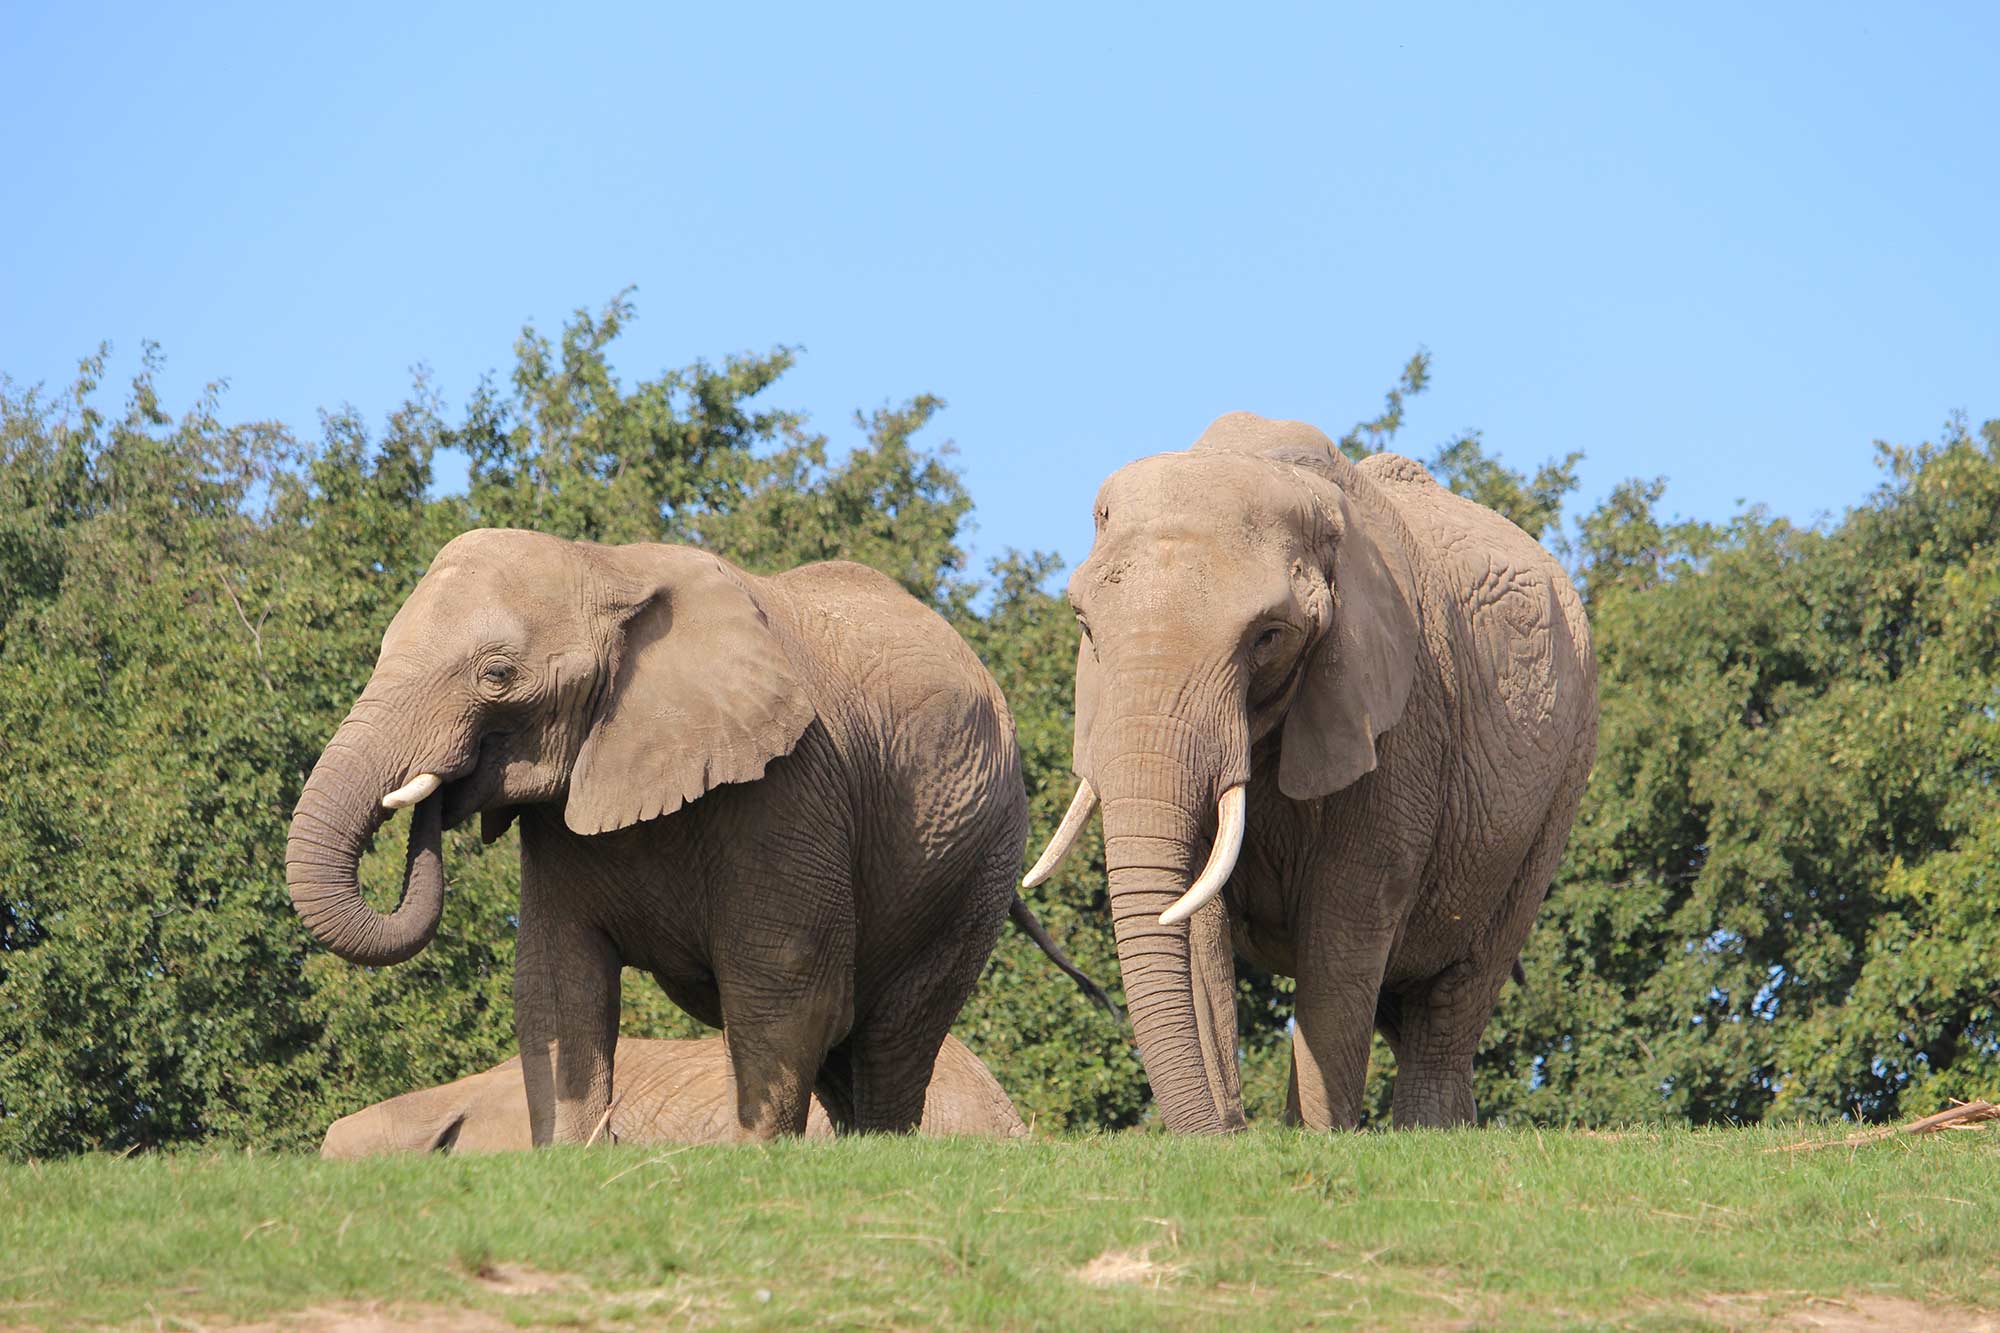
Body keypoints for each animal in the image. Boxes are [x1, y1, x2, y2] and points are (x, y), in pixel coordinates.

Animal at [288, 529, 1104, 1145]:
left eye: (497, 674)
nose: (434, 792)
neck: (607, 568)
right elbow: (557, 986)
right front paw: (573, 1160)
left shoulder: (790, 782)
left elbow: (784, 983)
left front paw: (753, 1160)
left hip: (976, 864)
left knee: (892, 1033)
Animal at [1024, 412, 1598, 1132]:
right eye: (1086, 627)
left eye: (1268, 637)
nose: (1221, 1138)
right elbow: (1196, 918)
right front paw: (1227, 1135)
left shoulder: (1403, 709)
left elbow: (1348, 914)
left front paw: (1315, 1139)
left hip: (1561, 785)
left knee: (1457, 992)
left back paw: (1426, 1128)